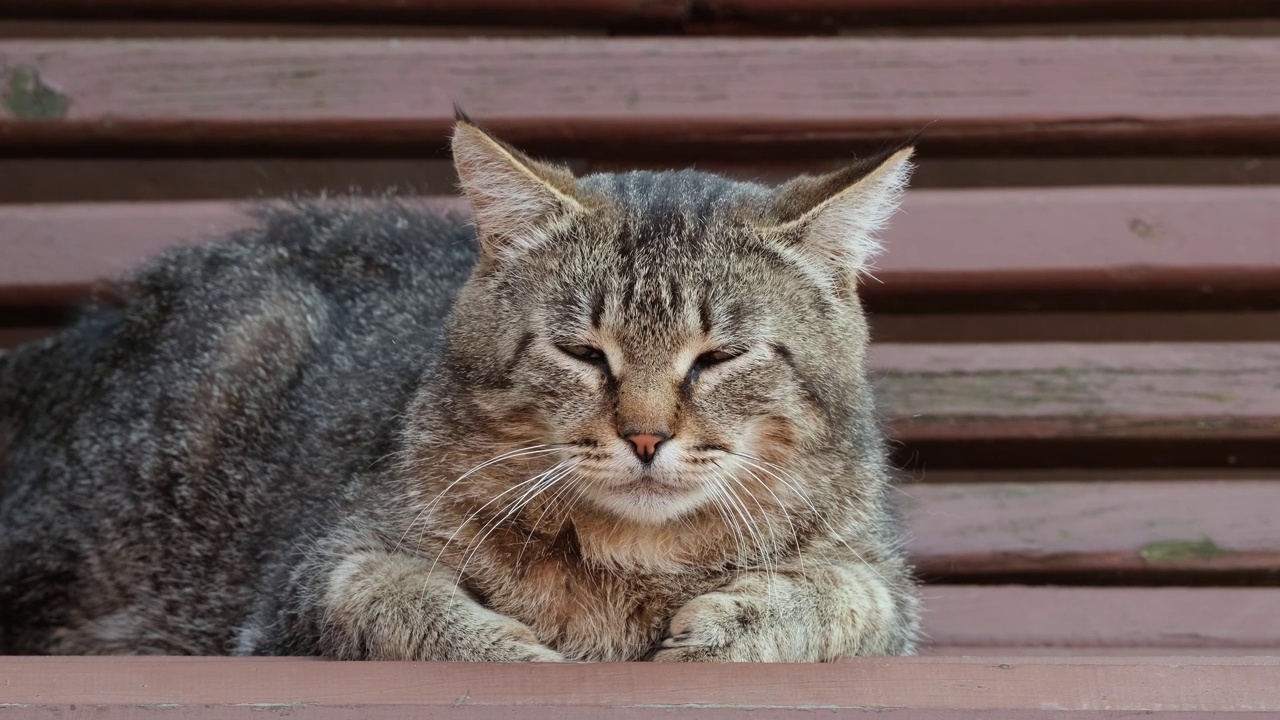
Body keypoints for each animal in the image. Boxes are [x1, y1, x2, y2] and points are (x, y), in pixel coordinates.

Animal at [0, 114, 921, 661]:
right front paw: (504, 646)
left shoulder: (882, 578)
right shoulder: (311, 575)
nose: (646, 437)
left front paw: (737, 626)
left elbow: (848, 598)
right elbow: (389, 600)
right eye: (583, 353)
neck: (631, 562)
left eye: (718, 357)